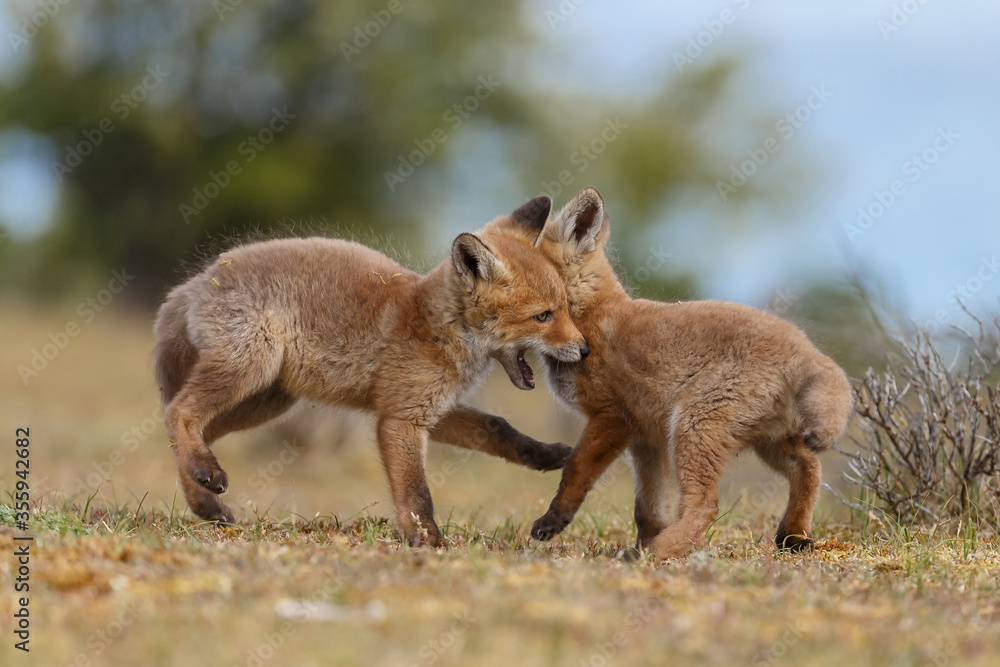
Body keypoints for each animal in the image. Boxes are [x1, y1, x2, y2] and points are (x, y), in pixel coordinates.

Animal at [154, 196, 590, 547]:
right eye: (543, 316)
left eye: (566, 308)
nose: (585, 348)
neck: (437, 325)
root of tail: (196, 281)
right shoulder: (400, 419)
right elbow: (416, 494)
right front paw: (427, 540)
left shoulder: (431, 409)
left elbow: (497, 427)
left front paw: (545, 454)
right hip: (248, 368)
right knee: (179, 412)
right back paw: (207, 473)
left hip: (267, 399)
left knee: (188, 430)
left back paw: (205, 502)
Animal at [528, 188, 854, 559]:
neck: (587, 319)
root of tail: (804, 346)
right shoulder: (645, 437)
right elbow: (649, 509)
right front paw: (644, 539)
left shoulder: (611, 418)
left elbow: (575, 471)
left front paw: (554, 521)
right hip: (766, 441)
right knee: (809, 468)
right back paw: (793, 536)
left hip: (693, 426)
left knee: (706, 506)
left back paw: (657, 551)